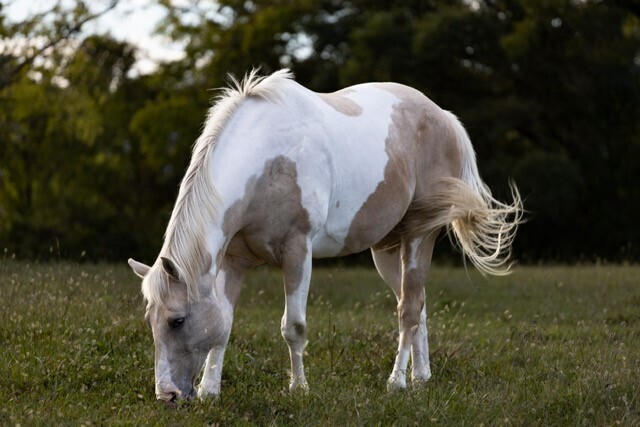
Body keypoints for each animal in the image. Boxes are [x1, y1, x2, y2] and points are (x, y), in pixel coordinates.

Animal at [127, 68, 524, 402]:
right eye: (150, 320)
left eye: (177, 320)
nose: (167, 395)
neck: (268, 159)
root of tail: (443, 116)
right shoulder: (234, 261)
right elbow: (222, 325)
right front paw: (211, 392)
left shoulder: (298, 252)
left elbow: (294, 326)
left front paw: (299, 389)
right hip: (385, 249)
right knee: (418, 303)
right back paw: (420, 378)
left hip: (418, 235)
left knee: (409, 310)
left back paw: (396, 382)